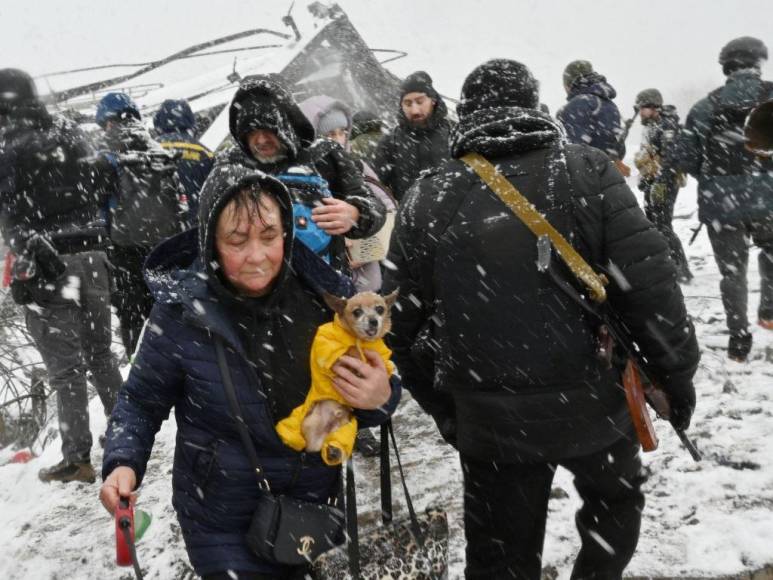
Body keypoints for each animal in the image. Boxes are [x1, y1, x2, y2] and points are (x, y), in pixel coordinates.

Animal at [274, 290, 398, 466]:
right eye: (357, 312)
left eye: (380, 309)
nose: (373, 321)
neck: (361, 340)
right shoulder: (327, 350)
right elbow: (347, 351)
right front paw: (354, 354)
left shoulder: (383, 361)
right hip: (310, 422)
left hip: (347, 428)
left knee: (335, 444)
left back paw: (334, 451)